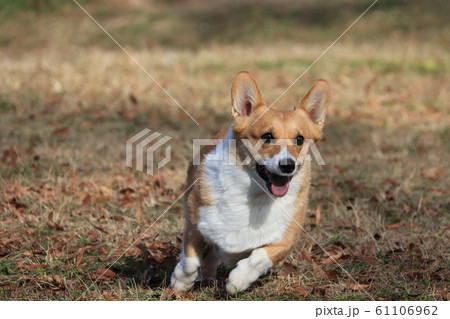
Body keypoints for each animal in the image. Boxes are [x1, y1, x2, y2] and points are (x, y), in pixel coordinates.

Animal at [171, 71, 328, 294]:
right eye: (267, 136)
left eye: (299, 139)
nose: (287, 165)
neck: (254, 194)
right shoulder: (195, 225)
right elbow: (190, 260)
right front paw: (180, 282)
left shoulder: (285, 241)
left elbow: (259, 256)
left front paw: (238, 280)